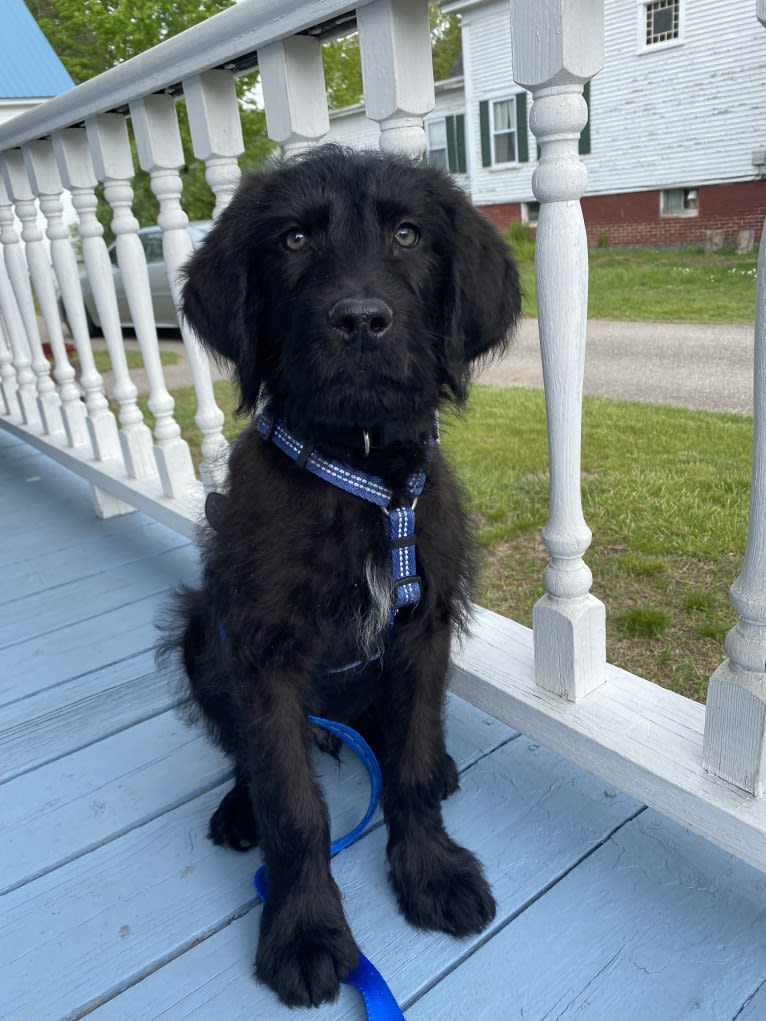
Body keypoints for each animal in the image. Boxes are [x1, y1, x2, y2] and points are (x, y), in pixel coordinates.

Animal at [162, 143, 522, 1004]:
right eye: (293, 240)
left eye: (407, 234)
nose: (360, 320)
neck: (359, 476)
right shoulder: (262, 653)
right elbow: (293, 804)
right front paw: (305, 929)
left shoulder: (423, 628)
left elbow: (412, 764)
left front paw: (429, 870)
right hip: (198, 634)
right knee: (247, 754)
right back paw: (239, 808)